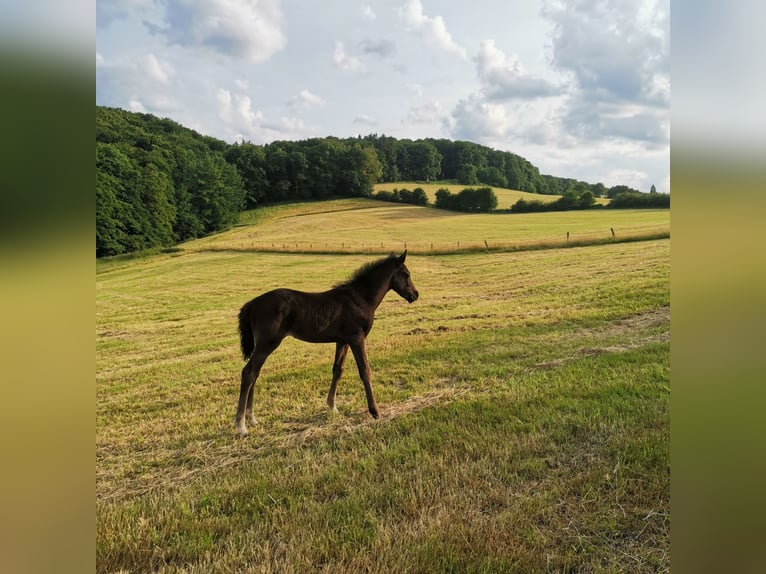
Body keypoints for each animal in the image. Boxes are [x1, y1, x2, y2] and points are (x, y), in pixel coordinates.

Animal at [235, 251, 419, 436]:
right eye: (406, 274)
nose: (415, 295)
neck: (360, 299)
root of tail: (252, 304)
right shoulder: (356, 338)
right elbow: (365, 371)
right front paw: (375, 412)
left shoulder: (342, 341)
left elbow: (337, 370)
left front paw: (332, 406)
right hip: (267, 344)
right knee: (248, 373)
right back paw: (241, 425)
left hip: (263, 346)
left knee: (255, 373)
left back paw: (251, 419)